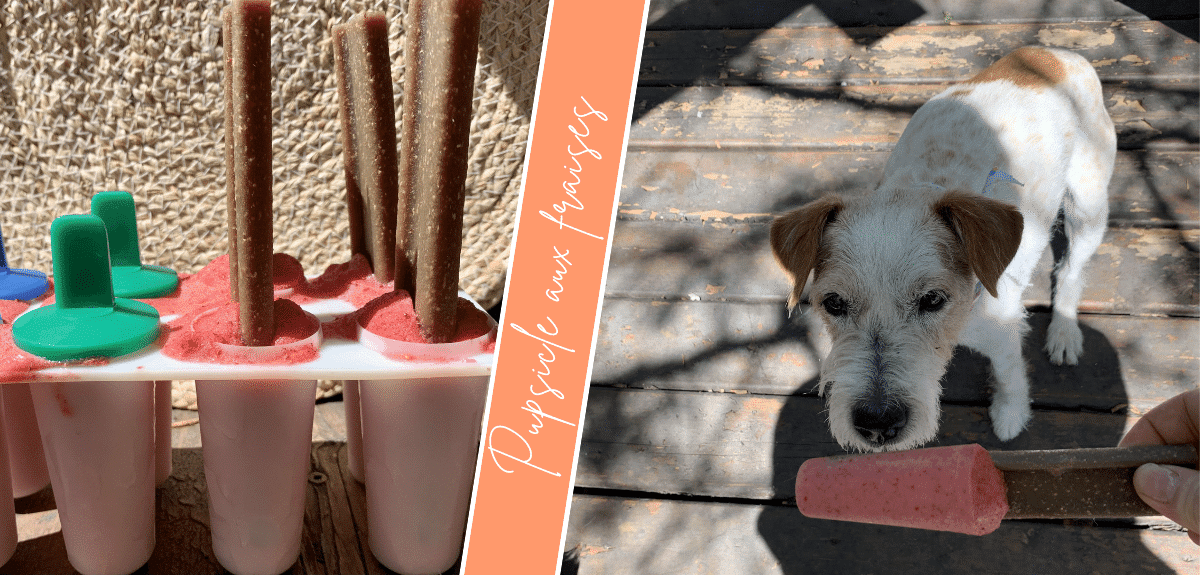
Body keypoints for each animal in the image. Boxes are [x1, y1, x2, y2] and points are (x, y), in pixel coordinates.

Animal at [768, 47, 1113, 451]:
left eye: (932, 299)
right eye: (833, 303)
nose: (877, 425)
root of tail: (1055, 53)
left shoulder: (1003, 334)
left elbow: (1010, 375)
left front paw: (1010, 414)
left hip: (1088, 206)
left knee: (1072, 268)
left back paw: (1064, 332)